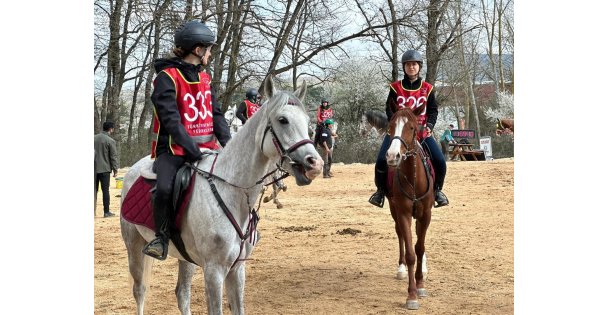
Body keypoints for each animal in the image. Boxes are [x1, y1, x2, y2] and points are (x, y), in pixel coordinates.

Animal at [120, 77, 326, 315]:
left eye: (307, 120)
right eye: (283, 120)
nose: (315, 164)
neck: (232, 191)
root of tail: (134, 169)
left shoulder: (237, 269)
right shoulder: (214, 271)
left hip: (186, 258)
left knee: (182, 294)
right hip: (134, 247)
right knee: (140, 290)